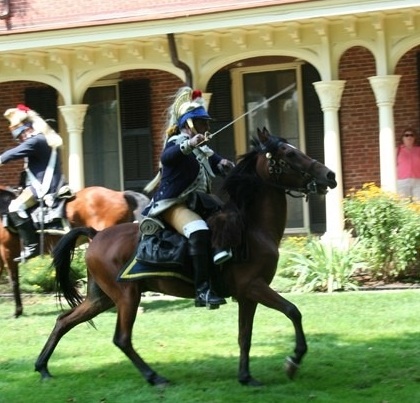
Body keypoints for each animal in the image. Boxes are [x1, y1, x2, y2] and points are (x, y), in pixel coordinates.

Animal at [36, 129, 338, 388]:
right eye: (288, 154)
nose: (330, 175)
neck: (251, 228)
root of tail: (96, 234)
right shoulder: (254, 286)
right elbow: (292, 311)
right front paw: (293, 360)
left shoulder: (247, 295)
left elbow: (245, 335)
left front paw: (246, 376)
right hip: (127, 296)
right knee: (121, 339)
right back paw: (154, 377)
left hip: (102, 298)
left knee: (64, 320)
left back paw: (43, 367)